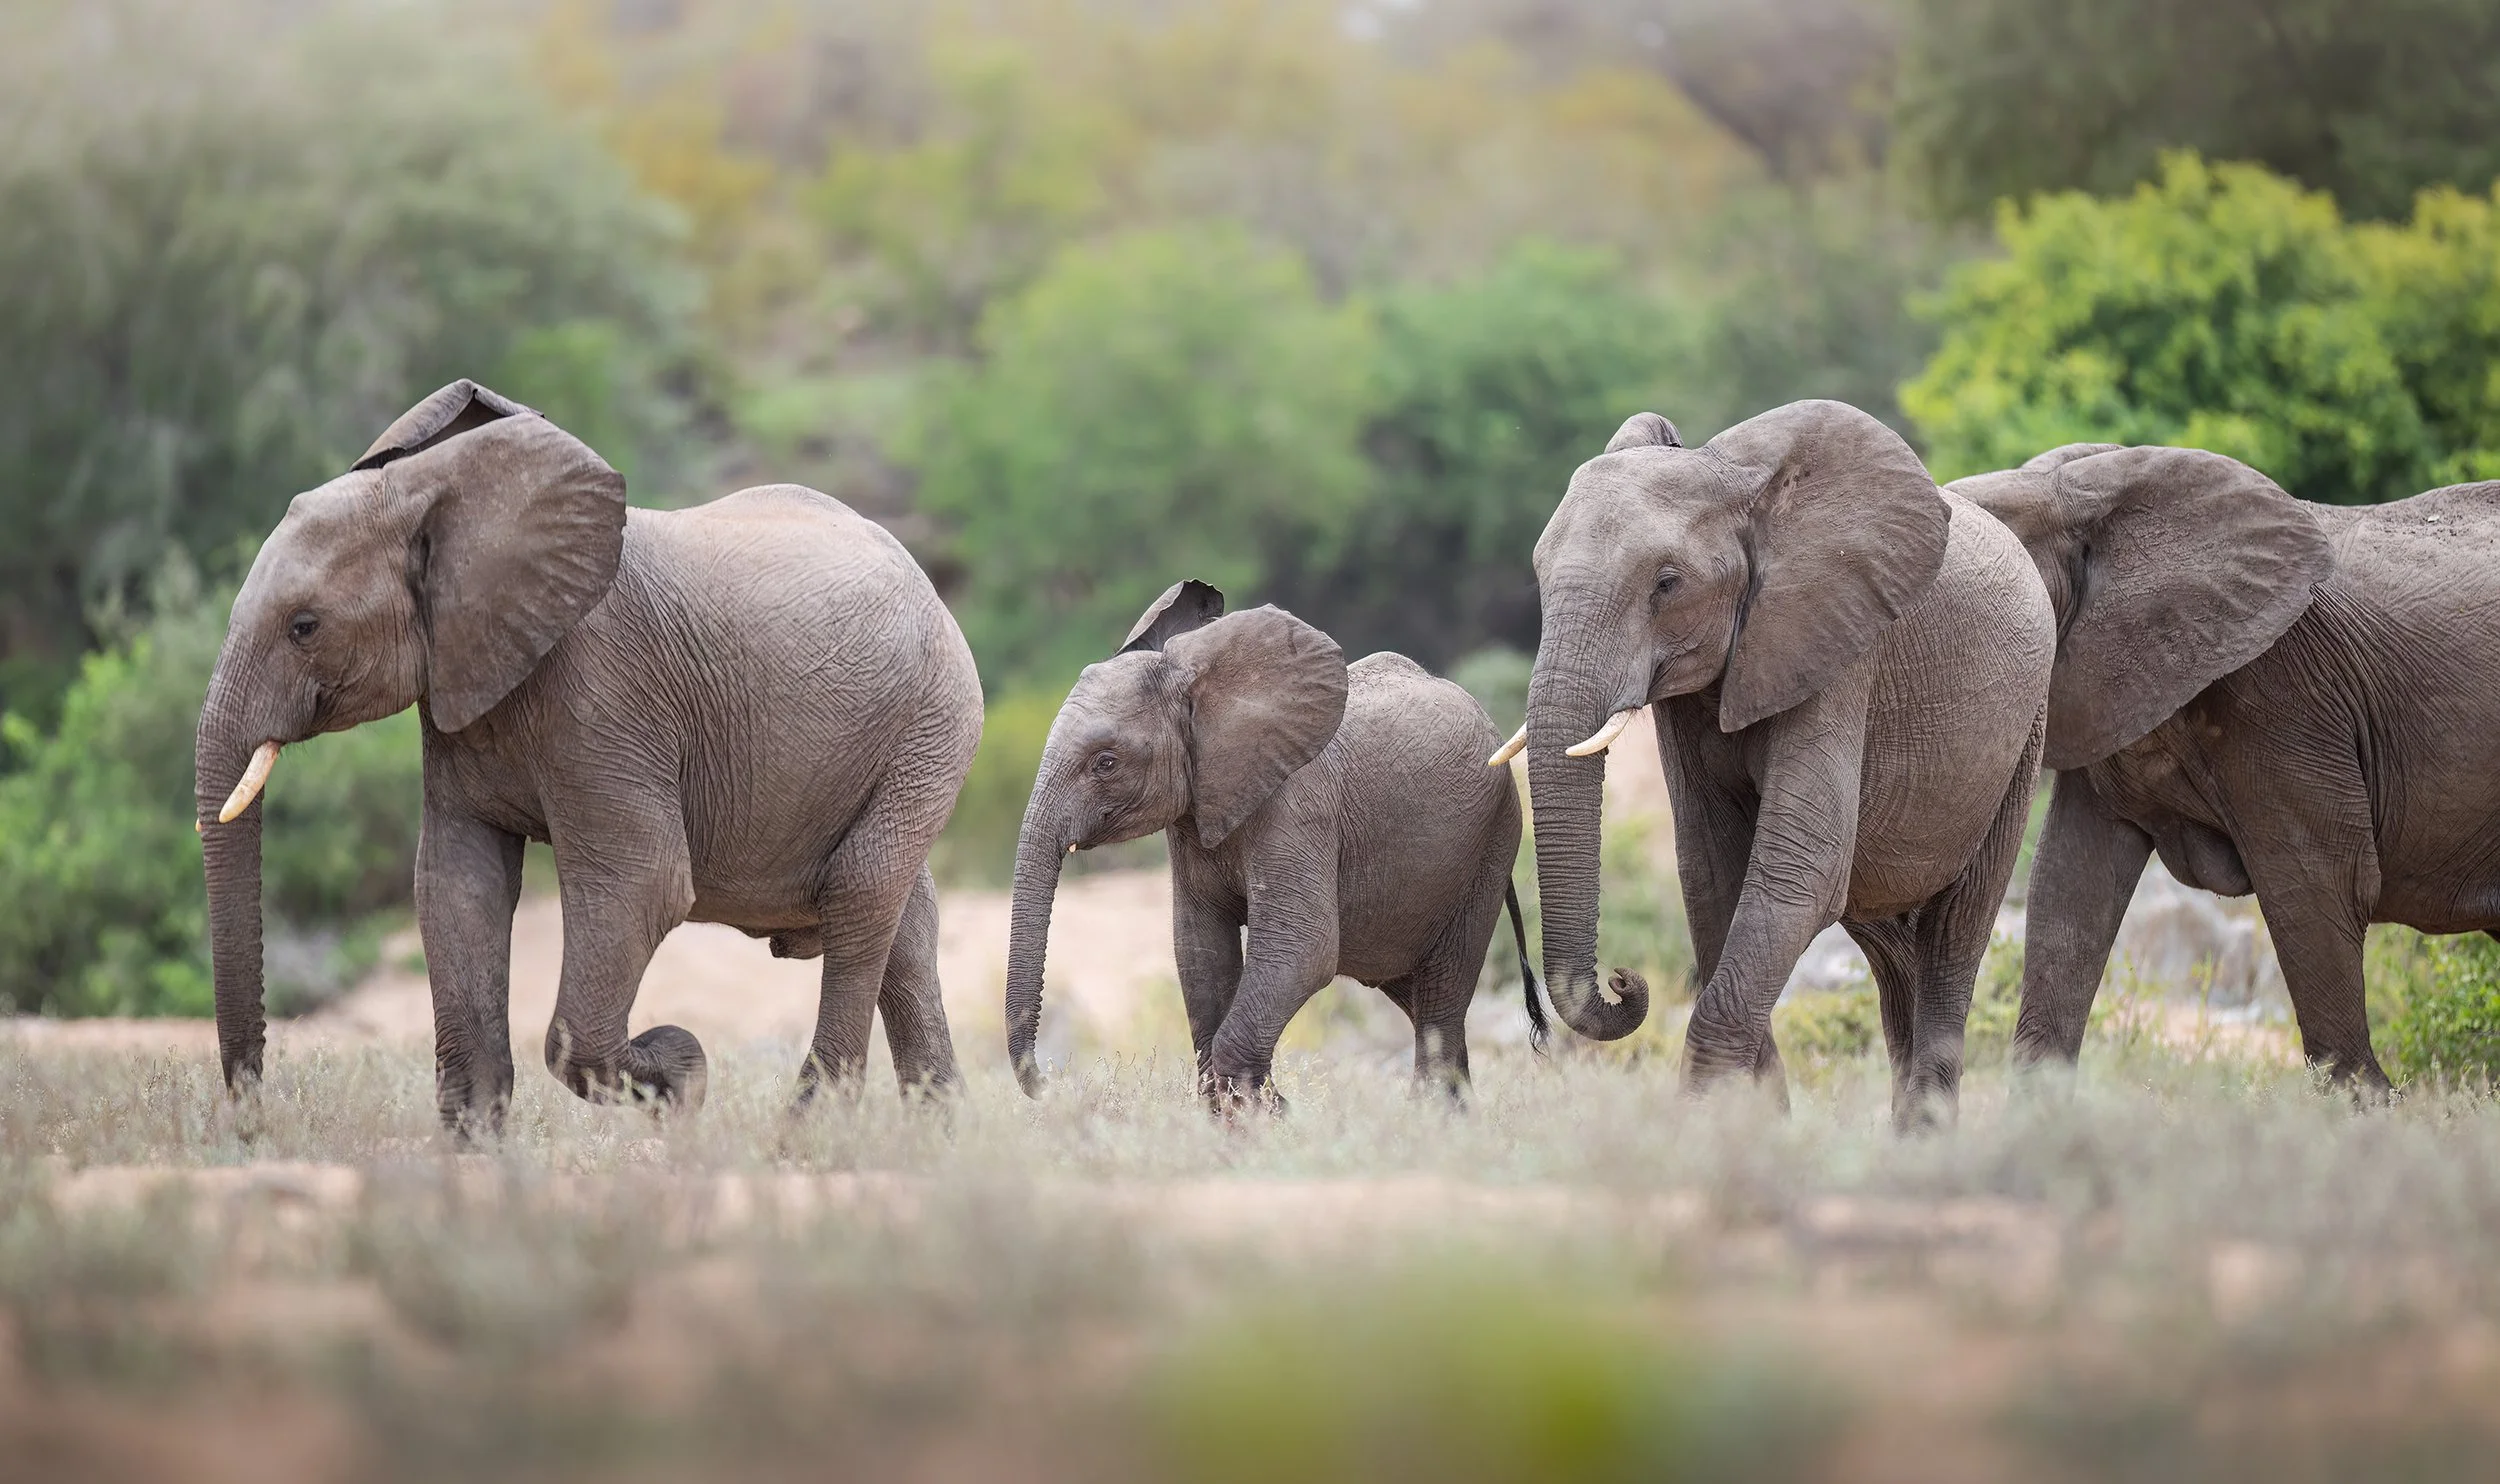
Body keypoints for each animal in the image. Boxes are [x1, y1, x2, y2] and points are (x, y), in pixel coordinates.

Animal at [195, 380, 981, 1131]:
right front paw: (473, 1156)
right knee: (905, 922)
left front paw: (683, 1073)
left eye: (304, 627)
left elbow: (643, 883)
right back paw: (935, 1144)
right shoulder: (461, 679)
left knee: (861, 892)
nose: (251, 1118)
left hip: (935, 721)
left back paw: (806, 1140)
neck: (443, 495)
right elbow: (457, 882)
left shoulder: (606, 693)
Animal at [1003, 581, 1542, 1105]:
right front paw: (1251, 1114)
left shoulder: (1297, 811)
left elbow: (1302, 949)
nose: (1055, 1087)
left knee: (1440, 995)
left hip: (1492, 840)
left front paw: (1267, 1113)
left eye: (1105, 763)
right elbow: (1200, 950)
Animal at [1513, 400, 2053, 1128]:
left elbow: (1800, 871)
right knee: (1892, 954)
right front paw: (1752, 1125)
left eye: (1667, 584)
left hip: (2023, 734)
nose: (1624, 981)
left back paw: (1927, 1138)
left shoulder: (1840, 647)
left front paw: (1699, 1129)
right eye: (1539, 575)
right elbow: (1713, 873)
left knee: (1953, 937)